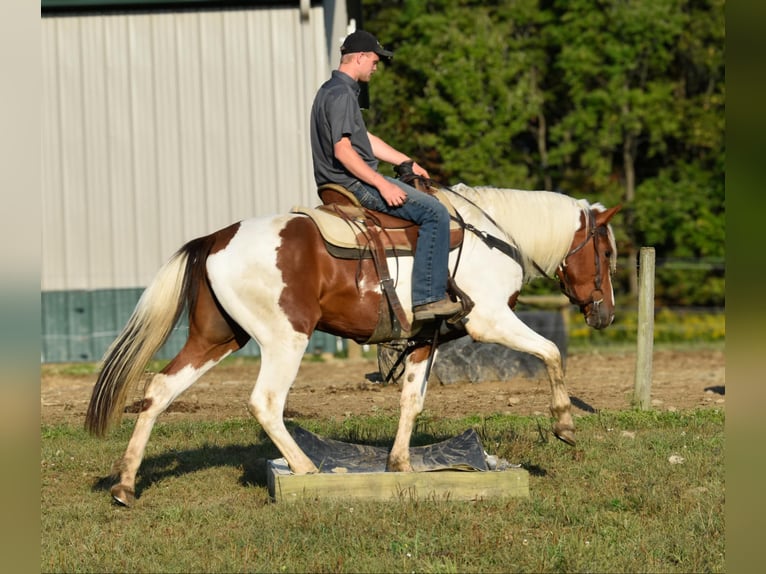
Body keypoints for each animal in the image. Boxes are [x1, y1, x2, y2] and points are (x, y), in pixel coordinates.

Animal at [85, 183, 620, 506]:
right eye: (608, 252)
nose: (607, 314)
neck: (492, 238)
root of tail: (216, 237)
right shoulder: (490, 319)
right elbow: (551, 352)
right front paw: (565, 425)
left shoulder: (425, 338)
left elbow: (412, 400)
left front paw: (400, 464)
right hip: (285, 339)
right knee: (265, 402)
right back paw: (305, 468)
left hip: (217, 337)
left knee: (159, 390)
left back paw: (126, 484)